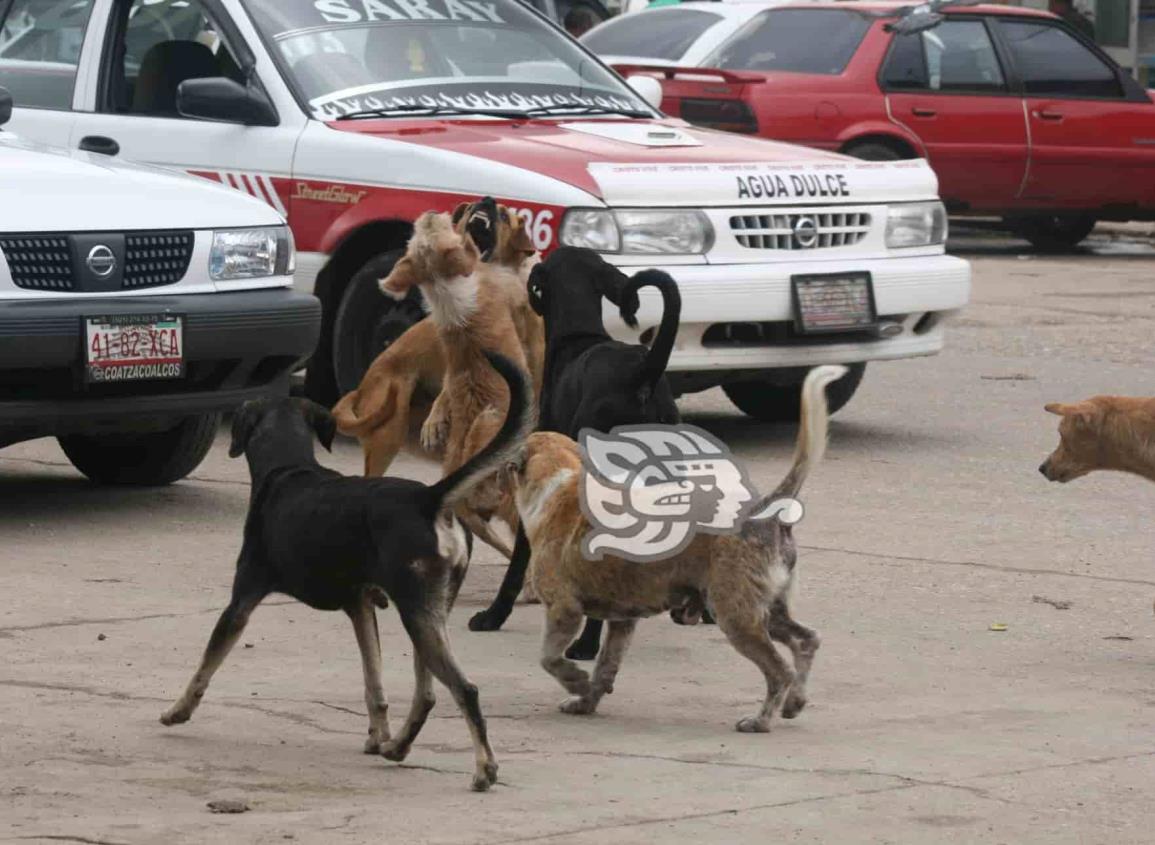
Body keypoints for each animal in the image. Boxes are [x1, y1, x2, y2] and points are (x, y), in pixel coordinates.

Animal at [160, 350, 533, 794]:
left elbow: (206, 664)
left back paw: (483, 767)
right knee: (426, 695)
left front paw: (178, 710)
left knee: (464, 689)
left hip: (416, 611)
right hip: (431, 611)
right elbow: (374, 682)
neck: (290, 469)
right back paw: (398, 746)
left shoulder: (242, 601)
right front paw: (377, 736)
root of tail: (429, 498)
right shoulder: (361, 606)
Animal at [510, 367, 845, 729]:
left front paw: (575, 681)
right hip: (767, 609)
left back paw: (760, 721)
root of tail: (764, 511)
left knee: (779, 671)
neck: (558, 483)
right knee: (806, 640)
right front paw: (586, 700)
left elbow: (549, 658)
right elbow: (605, 668)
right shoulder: (622, 622)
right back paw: (795, 702)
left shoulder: (563, 609)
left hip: (736, 615)